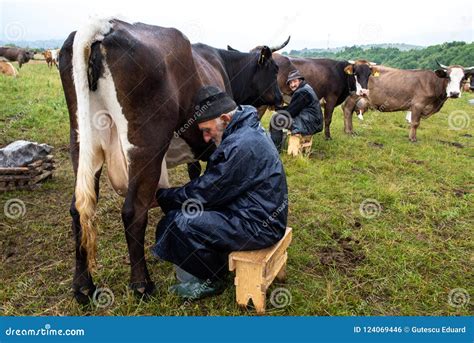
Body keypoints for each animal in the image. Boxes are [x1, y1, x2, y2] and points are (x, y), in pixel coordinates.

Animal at [57, 17, 284, 306]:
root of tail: (106, 25)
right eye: (275, 68)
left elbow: (193, 175)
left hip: (81, 142)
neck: (222, 63)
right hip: (146, 146)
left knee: (78, 209)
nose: (281, 98)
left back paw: (83, 286)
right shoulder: (211, 145)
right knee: (133, 211)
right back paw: (142, 285)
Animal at [342, 62, 472, 142]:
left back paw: (349, 130)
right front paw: (412, 139)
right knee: (347, 109)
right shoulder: (418, 104)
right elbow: (415, 123)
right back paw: (349, 131)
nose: (454, 93)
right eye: (448, 77)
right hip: (354, 95)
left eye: (463, 79)